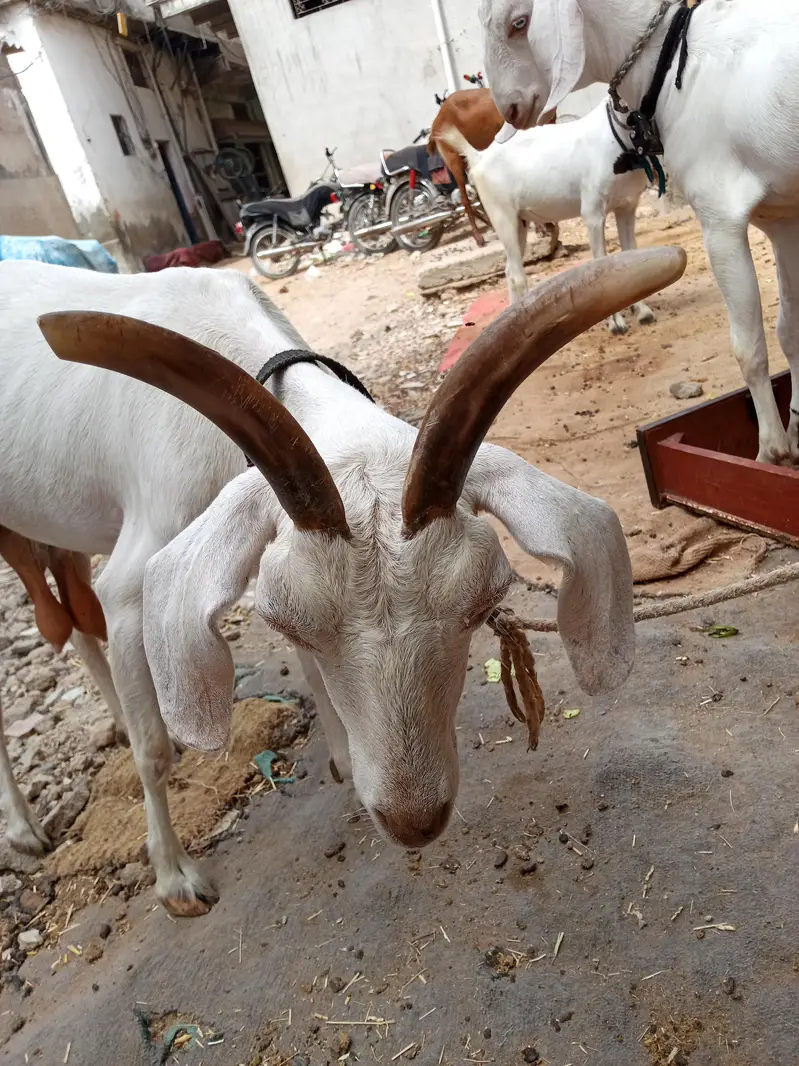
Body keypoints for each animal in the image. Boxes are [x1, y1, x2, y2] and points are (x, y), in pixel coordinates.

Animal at [0, 247, 685, 915]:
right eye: (283, 619)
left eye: (484, 602)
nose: (414, 821)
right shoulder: (135, 586)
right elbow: (154, 749)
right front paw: (174, 879)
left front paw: (339, 758)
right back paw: (25, 829)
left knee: (74, 615)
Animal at [428, 87, 558, 248]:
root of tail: (435, 123)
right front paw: (542, 227)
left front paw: (545, 226)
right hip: (452, 156)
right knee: (464, 196)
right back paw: (479, 237)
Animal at [440, 100, 655, 332]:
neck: (614, 137)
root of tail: (479, 157)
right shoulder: (593, 213)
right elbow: (601, 266)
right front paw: (615, 323)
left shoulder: (627, 206)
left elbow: (631, 256)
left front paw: (643, 311)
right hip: (501, 215)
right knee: (517, 275)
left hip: (519, 222)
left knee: (509, 270)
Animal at [481, 0, 799, 466]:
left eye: (519, 23)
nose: (510, 109)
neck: (672, 62)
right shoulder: (783, 217)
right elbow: (790, 331)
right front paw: (795, 436)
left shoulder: (721, 216)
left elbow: (750, 347)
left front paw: (770, 452)